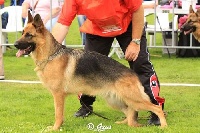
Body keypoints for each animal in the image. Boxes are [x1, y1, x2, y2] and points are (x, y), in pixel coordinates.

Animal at [14, 11, 167, 131]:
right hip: (115, 100)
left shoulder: (58, 95)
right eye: (22, 33)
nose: (15, 44)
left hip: (133, 99)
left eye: (29, 35)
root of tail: (132, 73)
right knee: (130, 112)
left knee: (156, 108)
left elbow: (58, 114)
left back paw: (163, 125)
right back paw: (124, 123)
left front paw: (55, 128)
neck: (51, 55)